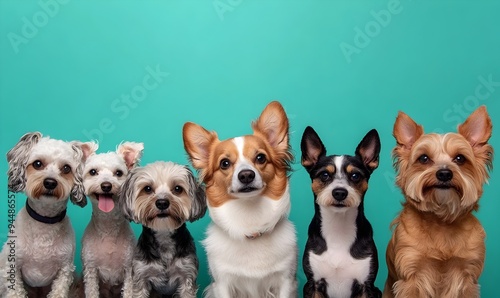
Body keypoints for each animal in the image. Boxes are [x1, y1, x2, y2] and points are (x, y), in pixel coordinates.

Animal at [80, 142, 143, 298]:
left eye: (119, 173)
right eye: (93, 172)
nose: (106, 185)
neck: (107, 224)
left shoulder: (129, 271)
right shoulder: (90, 270)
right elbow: (91, 291)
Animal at [186, 100, 298, 298]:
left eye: (260, 158)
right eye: (224, 163)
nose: (246, 175)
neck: (250, 220)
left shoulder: (286, 281)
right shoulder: (222, 284)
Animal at [300, 126, 382, 298]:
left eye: (355, 175)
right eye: (324, 175)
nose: (339, 192)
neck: (338, 227)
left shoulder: (367, 286)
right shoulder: (313, 284)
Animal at [382, 106, 492, 296]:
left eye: (460, 158)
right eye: (424, 158)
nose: (444, 173)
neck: (441, 220)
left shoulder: (467, 277)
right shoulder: (410, 275)